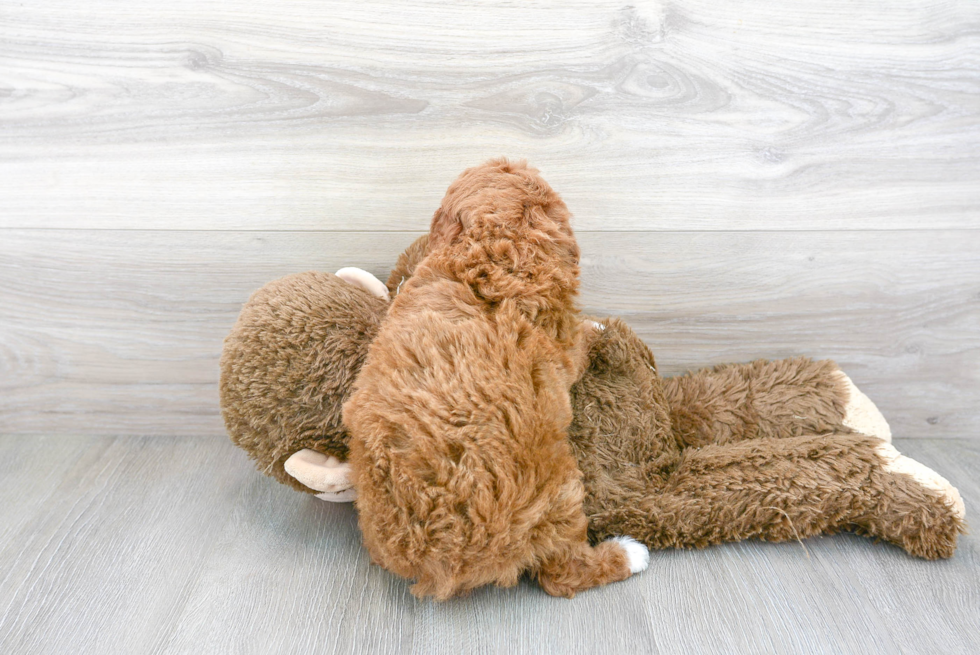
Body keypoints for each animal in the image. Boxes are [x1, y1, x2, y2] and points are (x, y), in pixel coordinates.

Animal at [340, 159, 648, 600]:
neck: (493, 250)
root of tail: (443, 551)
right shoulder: (564, 347)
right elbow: (581, 343)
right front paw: (598, 328)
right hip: (558, 494)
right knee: (562, 573)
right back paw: (629, 553)